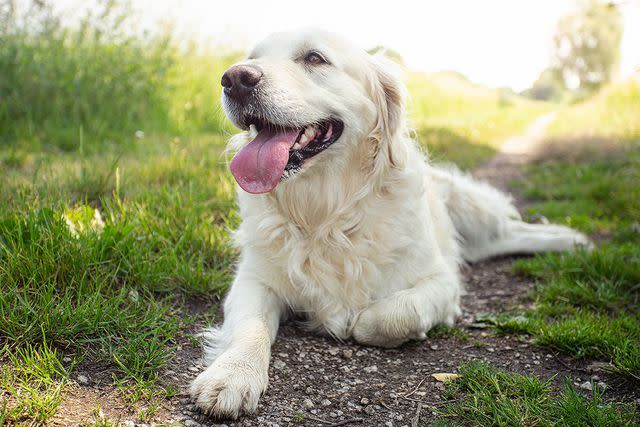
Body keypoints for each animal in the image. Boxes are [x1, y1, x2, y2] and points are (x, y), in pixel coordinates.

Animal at [190, 28, 592, 420]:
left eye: (315, 58)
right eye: (252, 57)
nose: (234, 79)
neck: (327, 213)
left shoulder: (442, 282)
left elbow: (390, 315)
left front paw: (357, 321)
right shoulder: (254, 279)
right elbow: (250, 327)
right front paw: (232, 376)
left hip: (471, 207)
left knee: (512, 229)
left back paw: (571, 238)